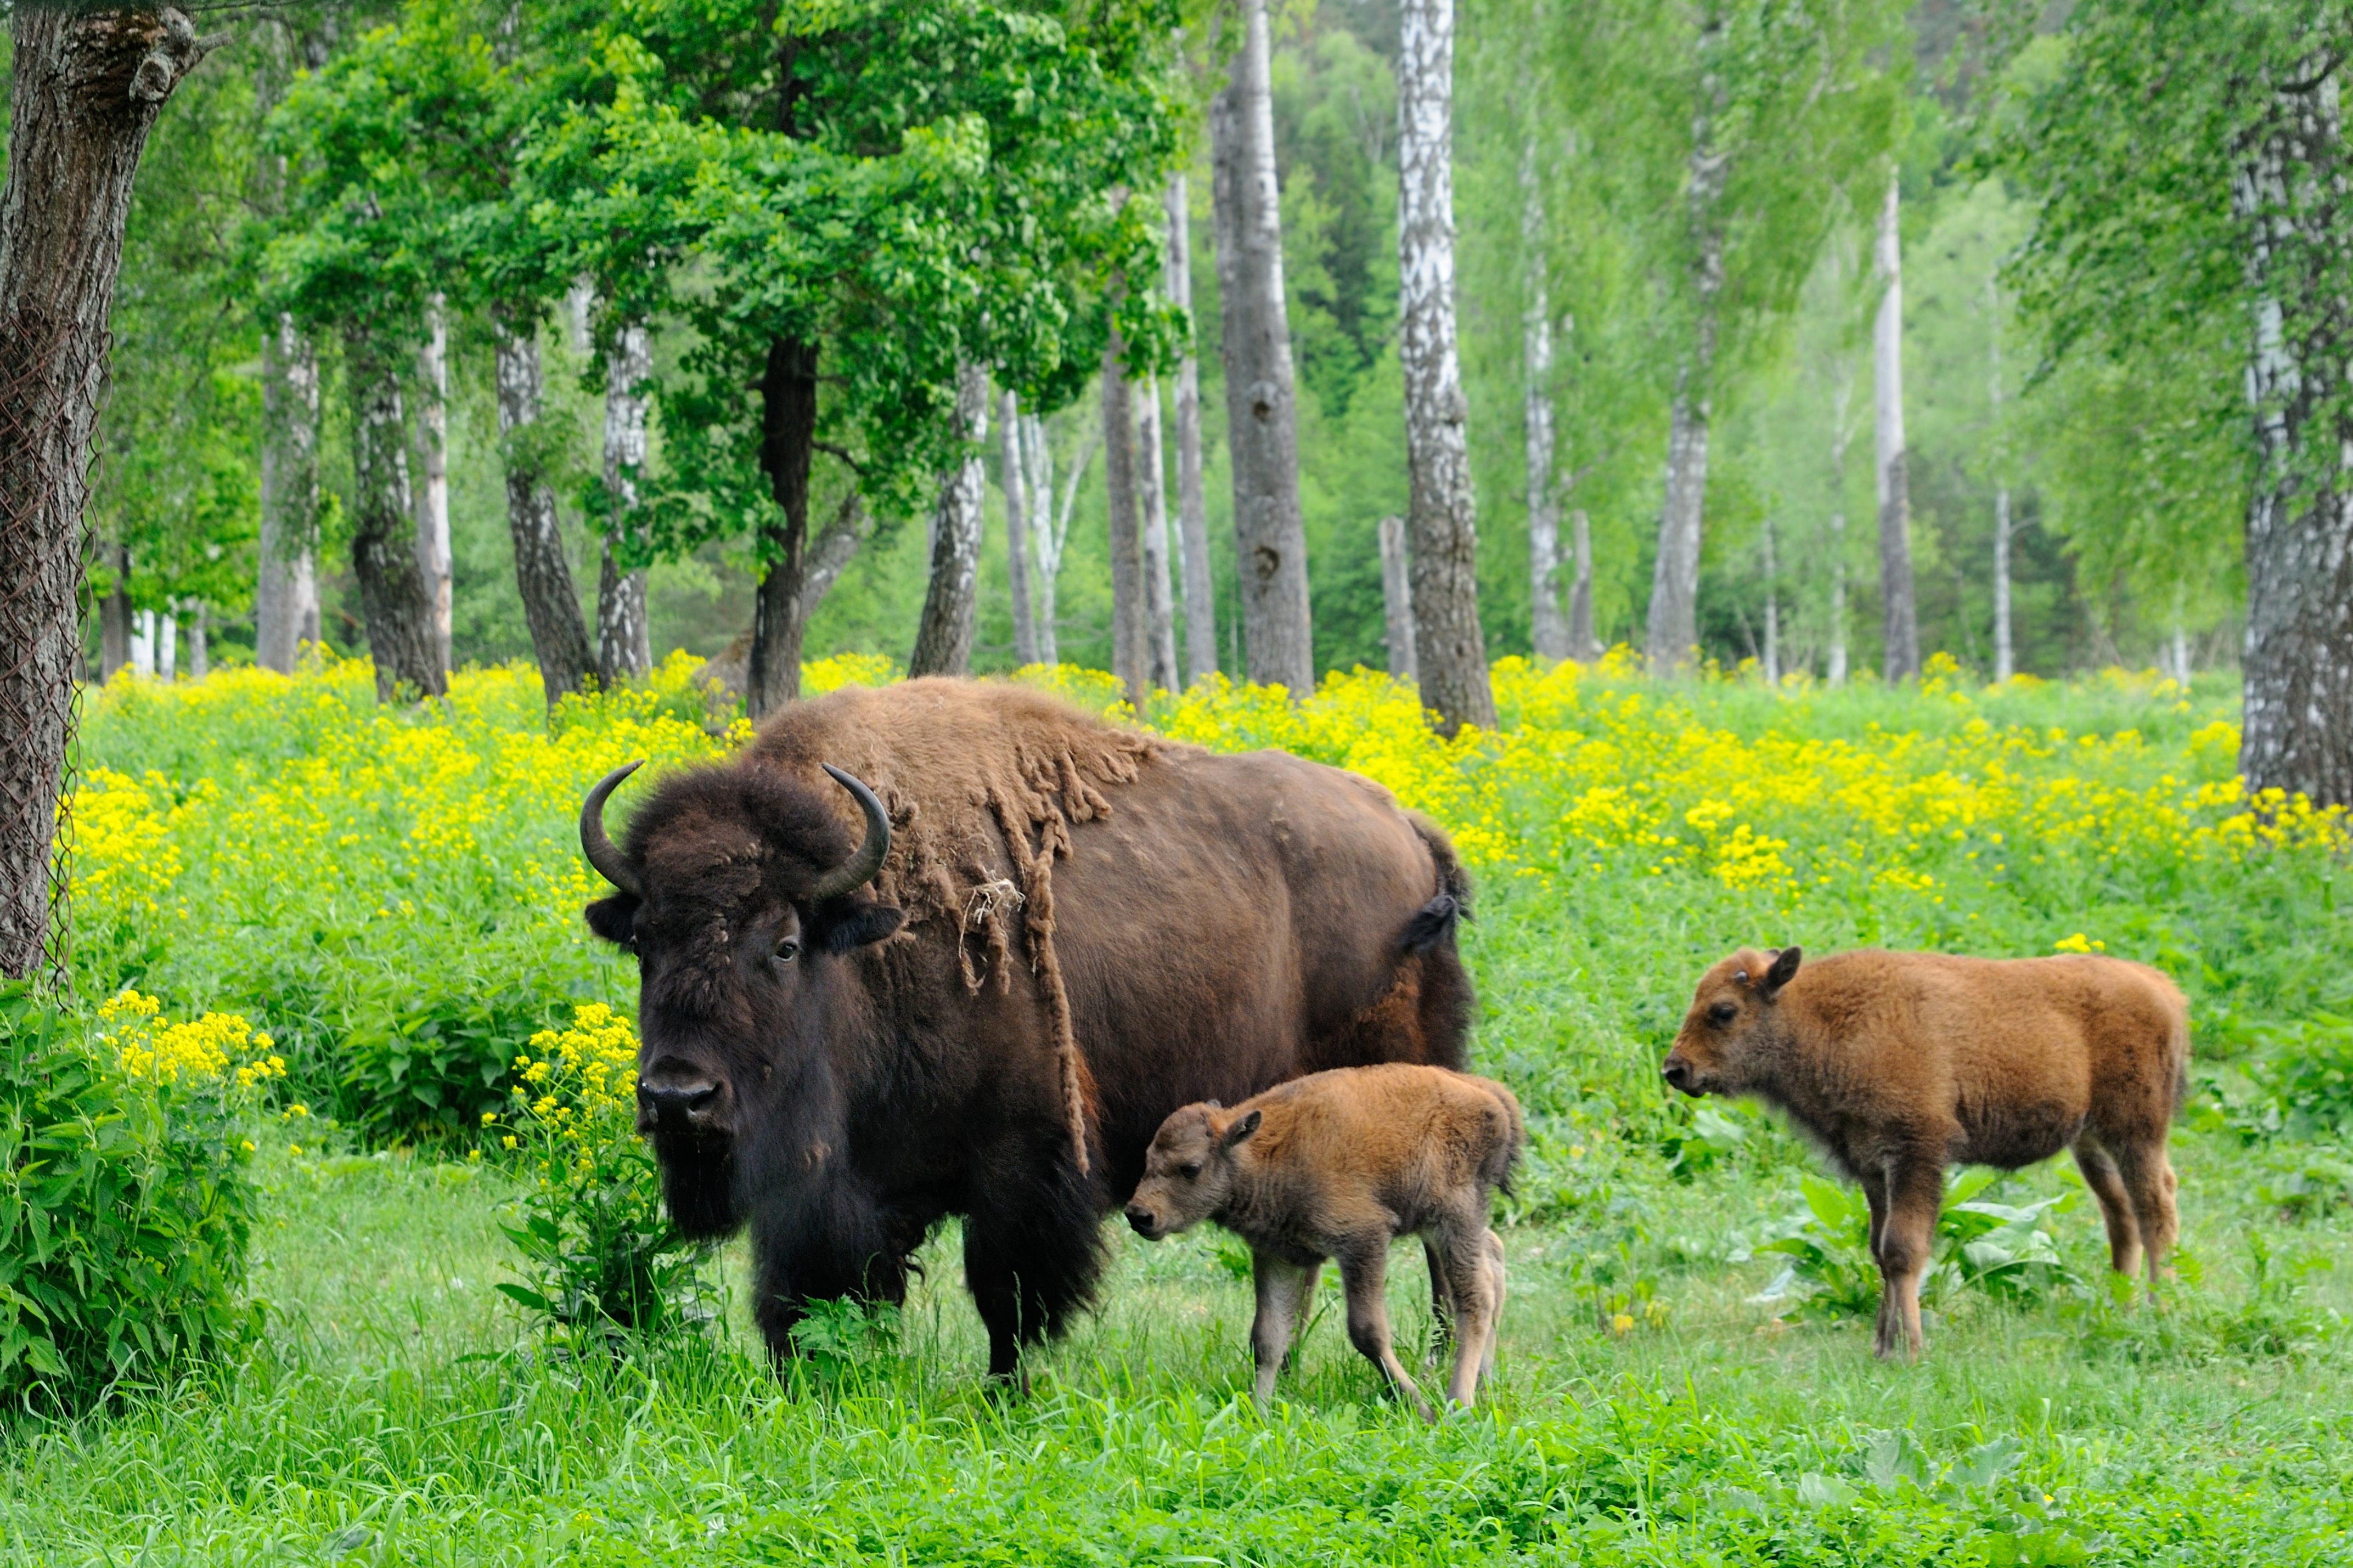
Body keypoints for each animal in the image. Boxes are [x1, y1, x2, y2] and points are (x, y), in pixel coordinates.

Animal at [583, 681, 1468, 1382]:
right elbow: (806, 1296)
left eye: (785, 944)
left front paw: (1004, 1391)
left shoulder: (1022, 1165)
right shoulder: (828, 1191)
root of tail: (1409, 827)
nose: (677, 1097)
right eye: (645, 943)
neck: (871, 943)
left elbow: (1005, 1295)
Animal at [1124, 1067, 1524, 1420]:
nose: (1140, 1215)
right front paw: (1258, 1414)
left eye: (1190, 1168)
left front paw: (1421, 1410)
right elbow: (1267, 1338)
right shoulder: (1278, 1256)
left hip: (1453, 1217)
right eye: (1147, 1159)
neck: (1260, 1152)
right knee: (1493, 1259)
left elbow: (1367, 1332)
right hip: (1444, 1223)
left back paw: (1459, 1403)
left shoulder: (1363, 1241)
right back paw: (1484, 1384)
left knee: (1475, 1299)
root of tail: (1489, 1093)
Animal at [1665, 945, 2193, 1363]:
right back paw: (2122, 1308)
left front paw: (1908, 1351)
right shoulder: (1873, 1167)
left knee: (2156, 1208)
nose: (1675, 1070)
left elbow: (1903, 1250)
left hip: (2136, 1131)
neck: (1821, 1015)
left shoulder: (1917, 1155)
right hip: (2090, 1141)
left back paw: (2160, 1309)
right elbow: (1879, 1250)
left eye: (1724, 1010)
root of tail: (2163, 989)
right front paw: (1882, 1346)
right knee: (2120, 1215)